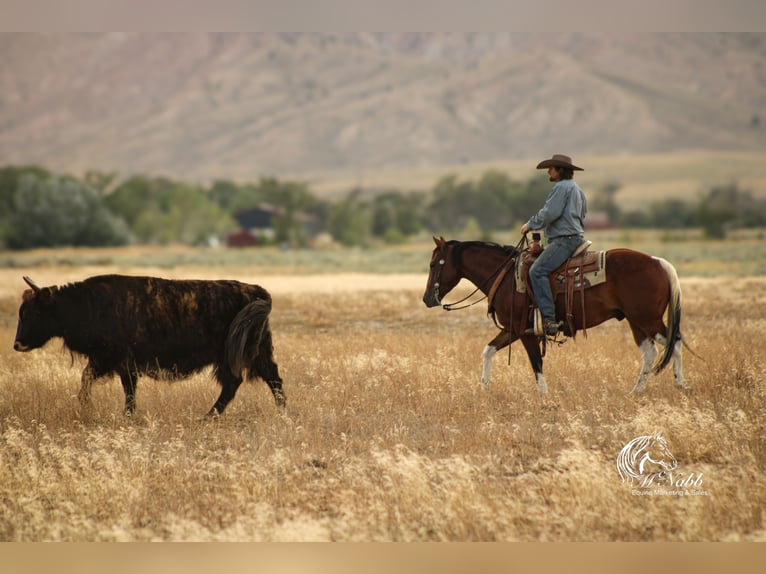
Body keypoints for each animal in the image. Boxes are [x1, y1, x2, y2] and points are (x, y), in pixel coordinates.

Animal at [422, 236, 688, 395]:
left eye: (434, 264)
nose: (427, 299)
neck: (507, 277)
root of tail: (658, 261)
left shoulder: (525, 331)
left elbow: (536, 363)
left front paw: (543, 396)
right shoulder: (512, 329)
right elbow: (488, 350)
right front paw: (485, 387)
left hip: (648, 319)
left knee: (673, 342)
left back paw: (681, 384)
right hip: (636, 321)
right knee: (650, 352)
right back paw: (637, 391)